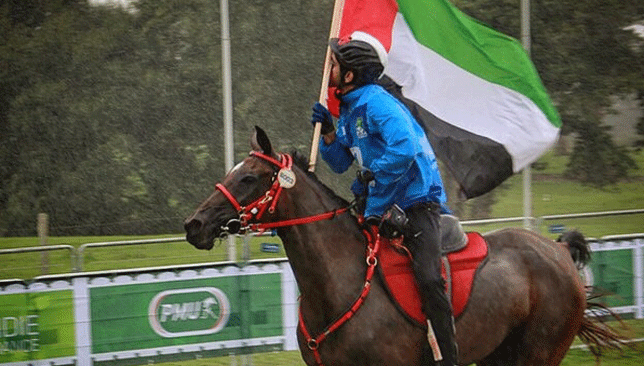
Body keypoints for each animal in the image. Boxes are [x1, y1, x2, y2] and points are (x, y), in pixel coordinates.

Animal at [184, 126, 616, 366]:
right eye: (233, 172)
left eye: (249, 178)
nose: (194, 225)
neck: (338, 284)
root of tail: (558, 251)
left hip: (539, 352)